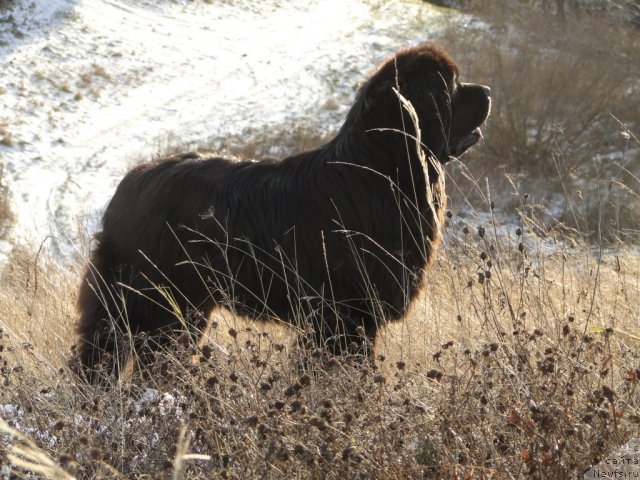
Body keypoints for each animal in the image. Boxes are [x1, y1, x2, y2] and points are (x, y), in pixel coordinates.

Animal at [77, 45, 492, 380]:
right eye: (453, 86)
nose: (487, 91)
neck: (380, 168)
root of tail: (129, 183)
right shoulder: (344, 314)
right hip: (153, 302)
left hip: (183, 307)